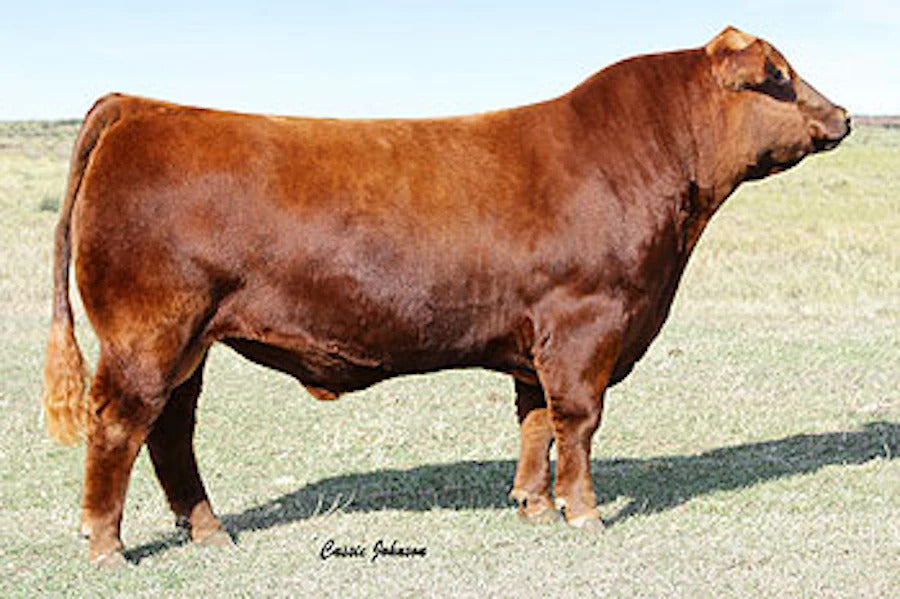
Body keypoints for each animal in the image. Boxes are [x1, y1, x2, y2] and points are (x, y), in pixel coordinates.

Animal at [40, 26, 849, 566]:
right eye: (780, 75)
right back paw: (107, 546)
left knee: (171, 429)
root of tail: (142, 106)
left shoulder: (535, 339)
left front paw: (533, 506)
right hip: (148, 330)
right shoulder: (586, 323)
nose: (841, 116)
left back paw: (209, 530)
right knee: (121, 423)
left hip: (190, 340)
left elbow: (534, 421)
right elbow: (578, 421)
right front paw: (584, 514)